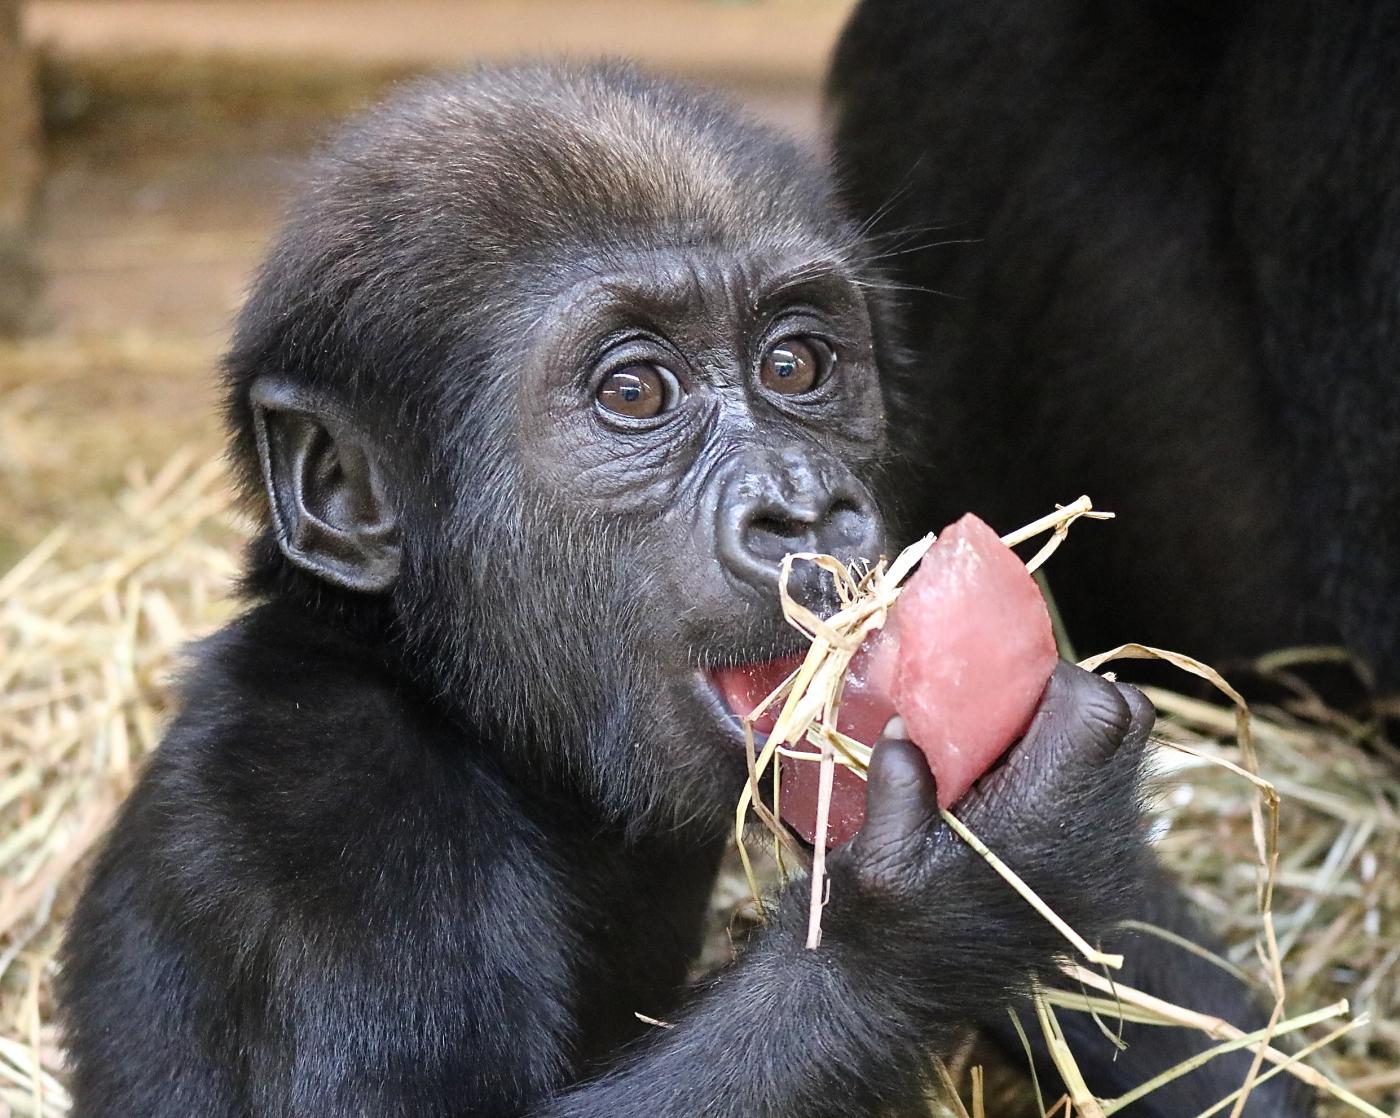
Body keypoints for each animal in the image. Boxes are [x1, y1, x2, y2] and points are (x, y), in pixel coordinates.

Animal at [54, 63, 1299, 1118]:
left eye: (795, 364)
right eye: (635, 392)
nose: (800, 505)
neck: (440, 688)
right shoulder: (342, 811)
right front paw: (935, 901)